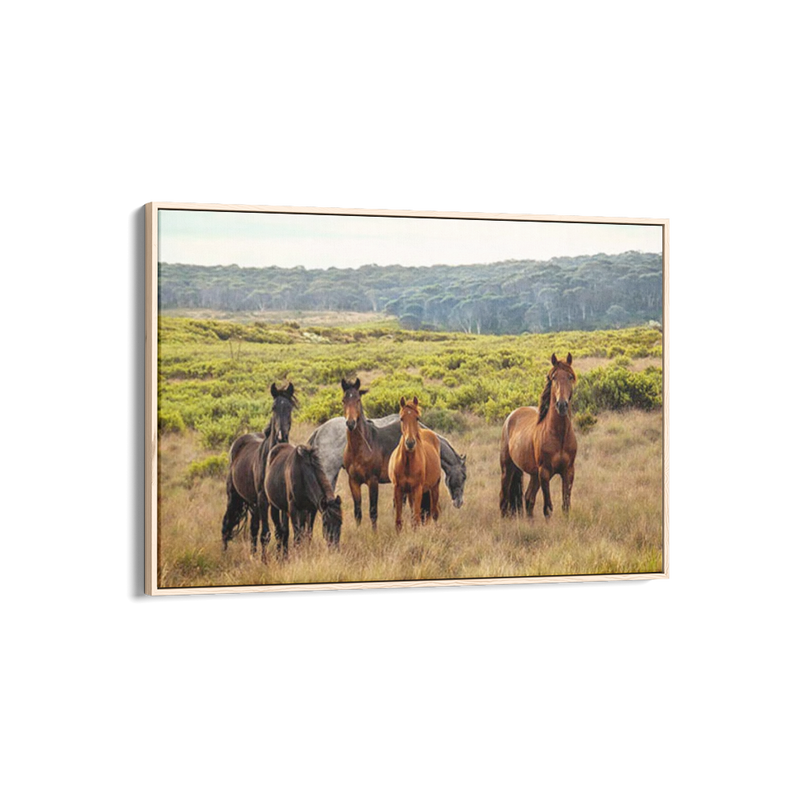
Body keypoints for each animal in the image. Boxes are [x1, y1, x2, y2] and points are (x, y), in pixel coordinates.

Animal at [220, 382, 298, 556]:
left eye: (290, 407)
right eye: (273, 407)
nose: (282, 436)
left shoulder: (280, 501)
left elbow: (283, 531)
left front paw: (283, 557)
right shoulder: (263, 499)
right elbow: (266, 534)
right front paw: (265, 560)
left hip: (253, 503)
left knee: (253, 528)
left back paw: (253, 554)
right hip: (234, 497)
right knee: (227, 524)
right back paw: (225, 553)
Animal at [390, 396, 444, 532]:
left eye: (417, 418)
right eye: (401, 418)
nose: (410, 443)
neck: (407, 463)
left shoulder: (418, 489)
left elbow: (416, 520)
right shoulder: (398, 489)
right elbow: (398, 521)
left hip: (434, 487)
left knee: (434, 513)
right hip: (410, 493)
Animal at [496, 354, 580, 520]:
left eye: (570, 377)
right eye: (553, 377)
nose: (561, 405)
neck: (559, 436)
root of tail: (511, 415)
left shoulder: (568, 472)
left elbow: (565, 505)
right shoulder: (545, 473)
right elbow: (548, 508)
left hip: (534, 475)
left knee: (529, 498)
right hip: (508, 468)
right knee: (503, 498)